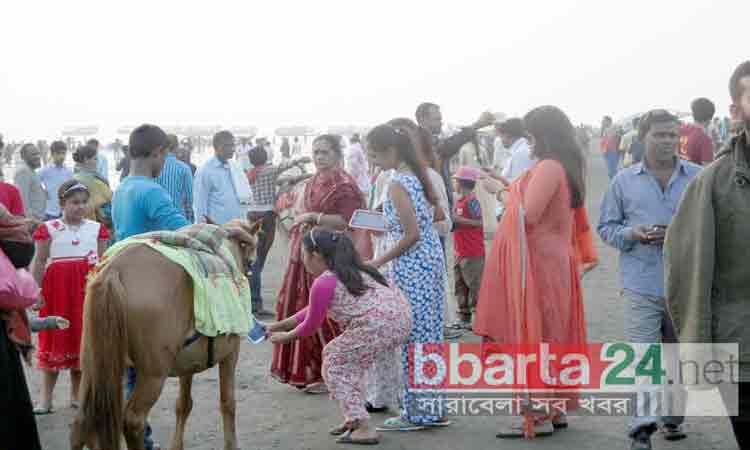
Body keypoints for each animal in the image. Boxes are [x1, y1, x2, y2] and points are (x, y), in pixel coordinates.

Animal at [70, 221, 262, 450]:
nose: (250, 265)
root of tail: (114, 270)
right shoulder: (231, 354)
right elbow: (228, 402)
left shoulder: (187, 365)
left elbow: (184, 404)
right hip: (152, 375)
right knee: (133, 420)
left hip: (93, 366)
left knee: (81, 421)